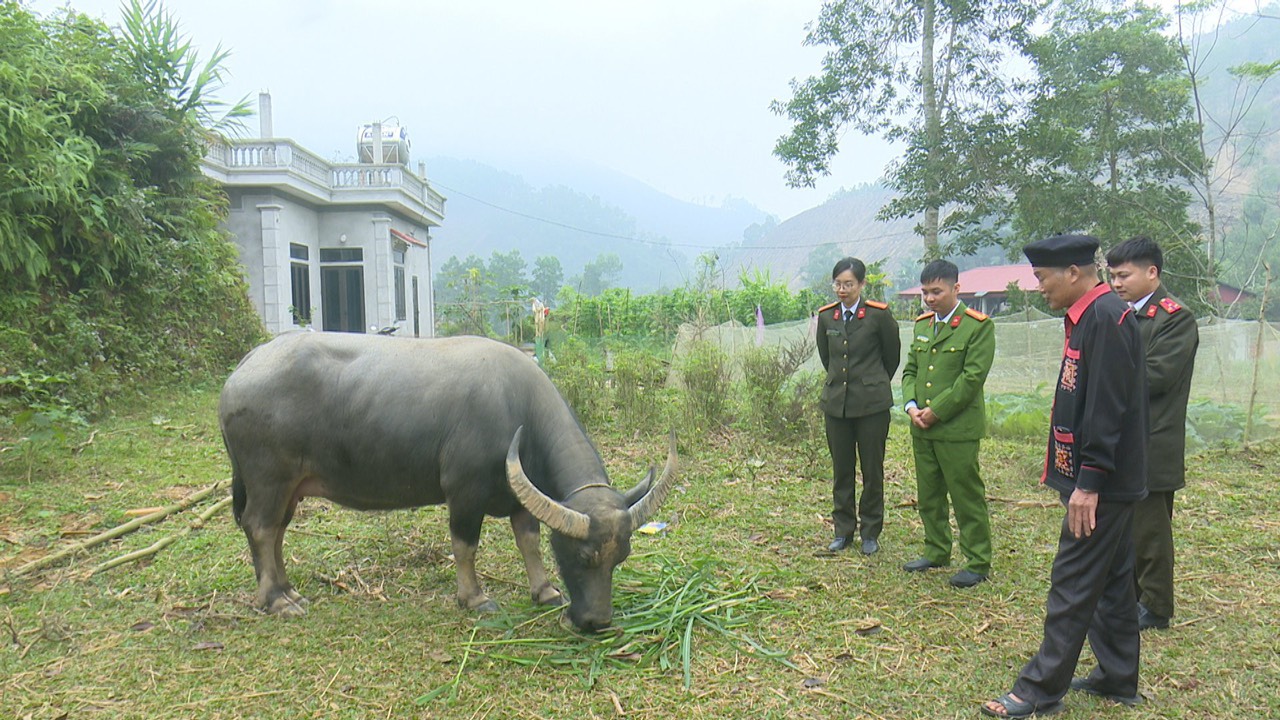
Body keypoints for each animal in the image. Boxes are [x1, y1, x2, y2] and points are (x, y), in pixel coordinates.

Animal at [217, 330, 680, 627]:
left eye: (621, 558)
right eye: (584, 557)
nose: (597, 621)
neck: (519, 409)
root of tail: (245, 366)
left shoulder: (520, 498)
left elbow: (528, 541)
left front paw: (545, 591)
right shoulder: (464, 493)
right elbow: (465, 546)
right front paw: (473, 598)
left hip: (288, 488)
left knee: (276, 531)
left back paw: (288, 590)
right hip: (269, 479)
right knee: (260, 528)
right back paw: (276, 601)